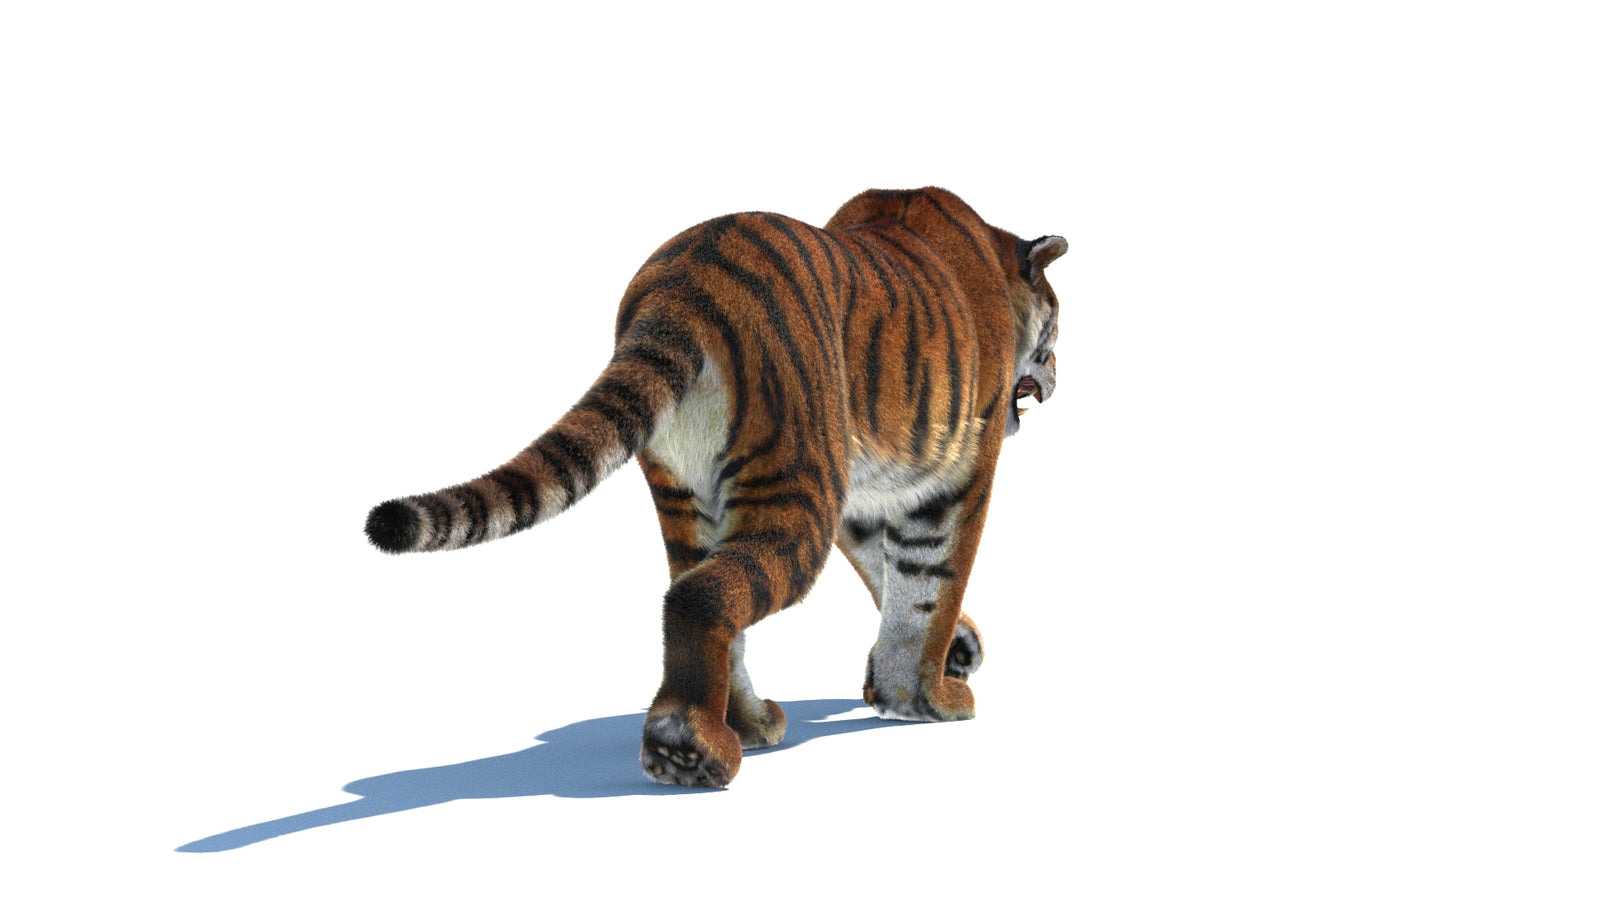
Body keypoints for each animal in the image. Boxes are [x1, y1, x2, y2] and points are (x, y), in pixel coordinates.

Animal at [365, 186, 1067, 787]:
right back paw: (689, 749)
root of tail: (688, 278)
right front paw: (927, 698)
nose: (1057, 371)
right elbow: (928, 589)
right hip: (795, 482)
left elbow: (887, 576)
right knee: (701, 595)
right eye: (1056, 329)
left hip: (688, 493)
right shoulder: (953, 480)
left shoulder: (864, 496)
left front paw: (945, 657)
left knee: (702, 591)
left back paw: (743, 725)